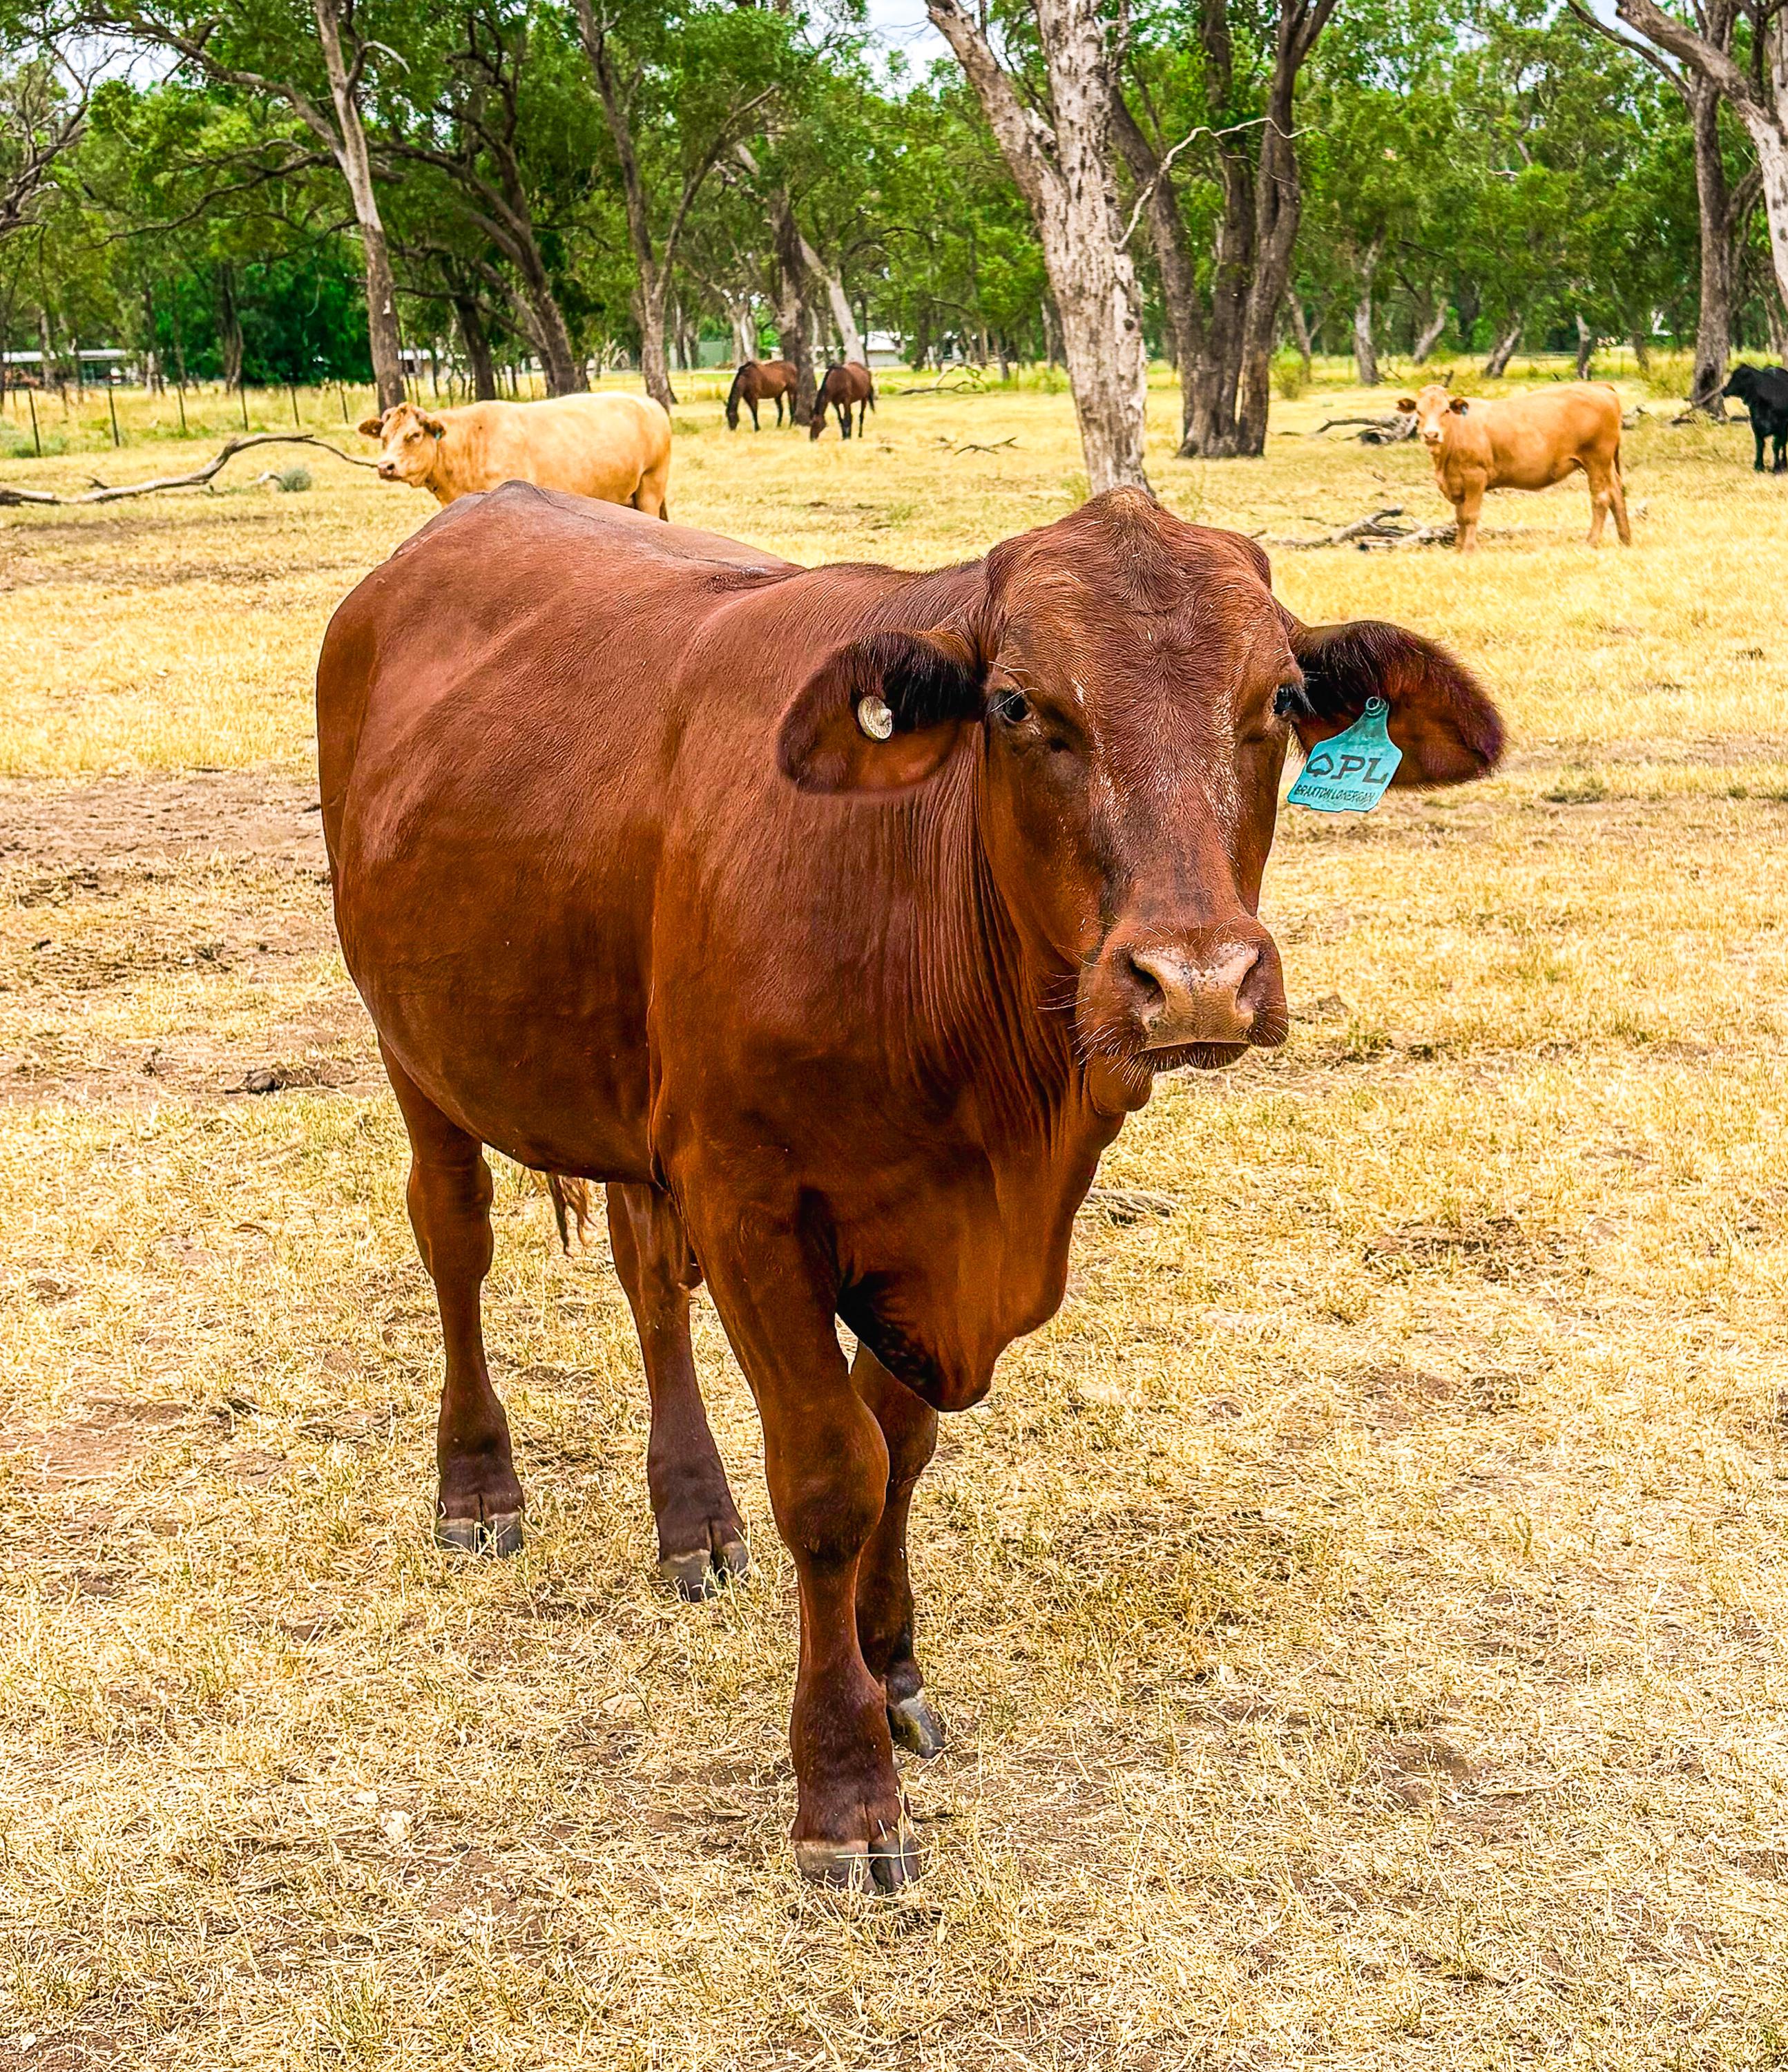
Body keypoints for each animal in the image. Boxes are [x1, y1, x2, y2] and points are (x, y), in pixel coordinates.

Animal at [317, 484, 1503, 1890]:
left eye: (1275, 698)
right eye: (1017, 706)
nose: (1197, 981)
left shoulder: (916, 1239)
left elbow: (903, 1453)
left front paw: (890, 1672)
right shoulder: (751, 1203)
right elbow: (834, 1479)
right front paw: (843, 1789)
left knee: (643, 1277)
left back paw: (692, 1521)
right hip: (413, 1047)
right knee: (454, 1239)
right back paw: (478, 1489)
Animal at [1395, 381, 1630, 552]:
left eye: (1446, 410)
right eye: (1419, 412)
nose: (1431, 435)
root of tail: (1598, 386)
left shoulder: (1475, 476)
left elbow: (1470, 516)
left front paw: (1469, 549)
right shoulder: (1456, 483)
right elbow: (1460, 518)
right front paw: (1459, 548)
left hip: (1597, 460)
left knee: (1601, 498)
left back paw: (1591, 541)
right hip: (1606, 464)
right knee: (1616, 492)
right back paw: (1625, 538)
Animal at [1722, 364, 1788, 473]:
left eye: (1737, 378)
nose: (1723, 390)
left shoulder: (1781, 428)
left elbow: (1776, 446)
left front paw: (1777, 468)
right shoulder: (1756, 426)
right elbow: (1760, 446)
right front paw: (1759, 466)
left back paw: (1784, 463)